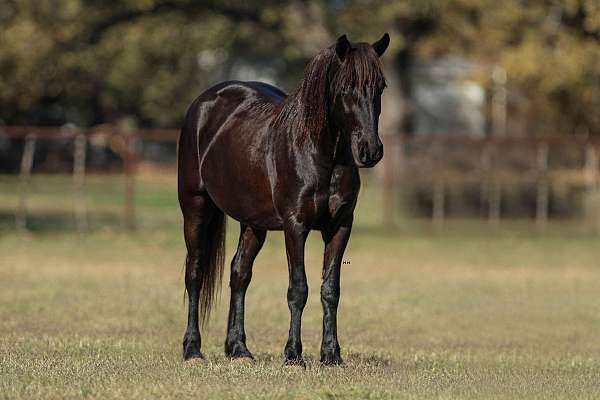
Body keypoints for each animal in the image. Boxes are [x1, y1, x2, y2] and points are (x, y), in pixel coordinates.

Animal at [178, 33, 392, 366]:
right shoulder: (295, 226)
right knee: (195, 272)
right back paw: (192, 350)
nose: (371, 150)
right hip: (195, 207)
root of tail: (203, 104)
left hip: (253, 223)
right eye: (347, 87)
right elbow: (298, 289)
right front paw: (293, 354)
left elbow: (330, 290)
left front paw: (331, 355)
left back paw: (239, 350)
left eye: (380, 86)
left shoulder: (340, 226)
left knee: (239, 273)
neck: (318, 153)